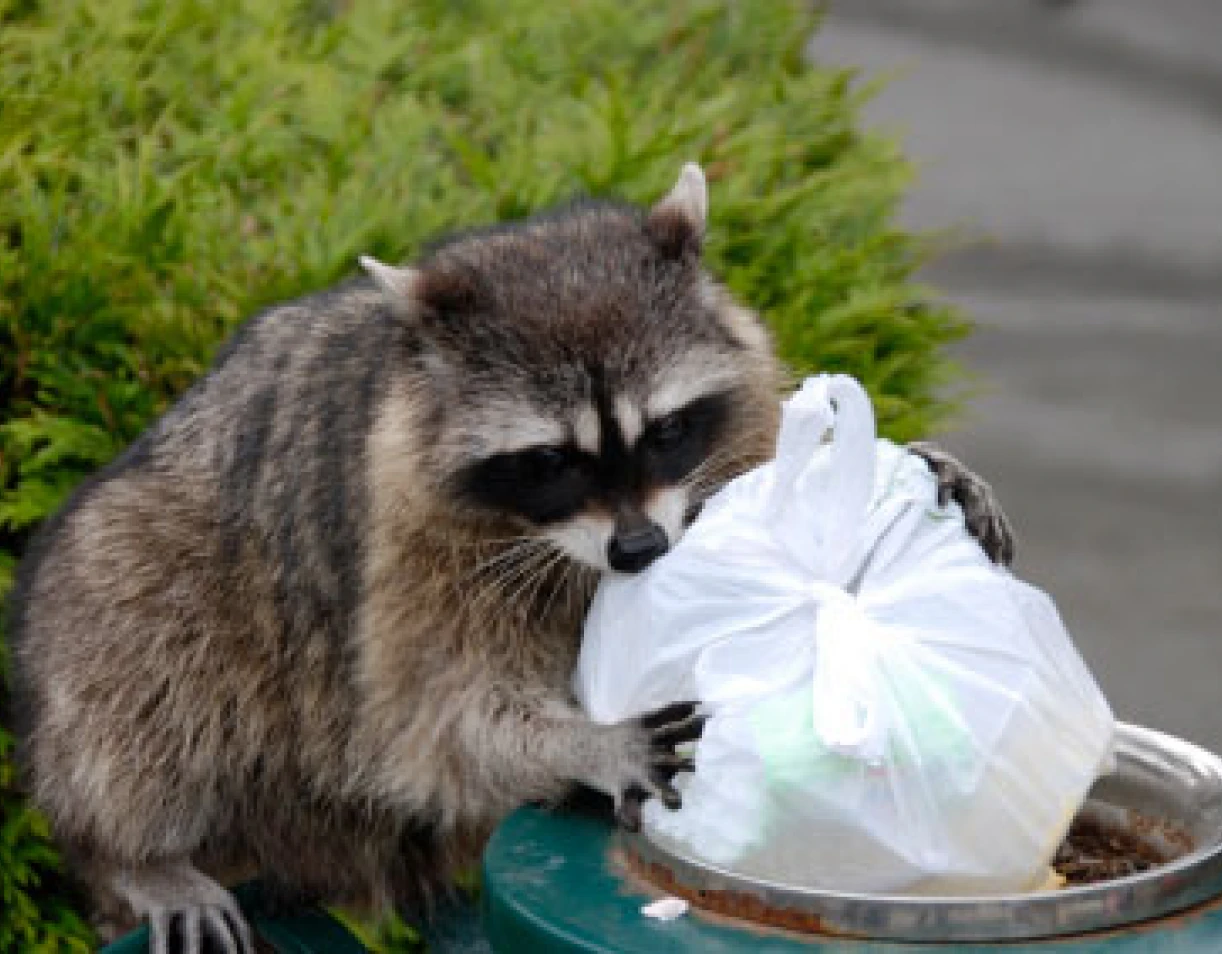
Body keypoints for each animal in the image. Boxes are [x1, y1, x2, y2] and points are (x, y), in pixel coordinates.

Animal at [8, 164, 1012, 953]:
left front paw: (924, 469)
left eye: (666, 431)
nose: (640, 549)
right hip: (141, 563)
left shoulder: (730, 430)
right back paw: (137, 853)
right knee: (135, 645)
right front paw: (587, 741)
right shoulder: (407, 553)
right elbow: (436, 720)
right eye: (551, 461)